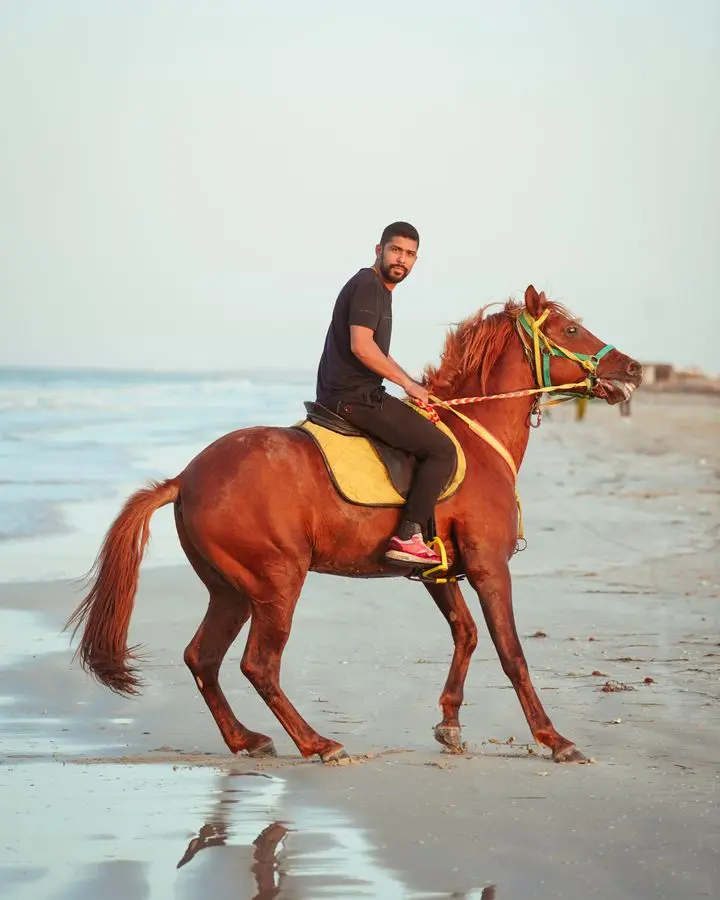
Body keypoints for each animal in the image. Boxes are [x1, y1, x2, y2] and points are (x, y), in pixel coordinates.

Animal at [66, 285, 642, 765]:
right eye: (571, 331)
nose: (633, 369)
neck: (473, 441)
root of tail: (186, 477)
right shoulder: (488, 567)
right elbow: (510, 652)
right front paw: (554, 739)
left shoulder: (437, 573)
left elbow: (467, 635)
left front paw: (450, 724)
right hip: (276, 581)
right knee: (258, 664)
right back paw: (317, 743)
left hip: (230, 589)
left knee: (202, 658)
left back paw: (246, 739)